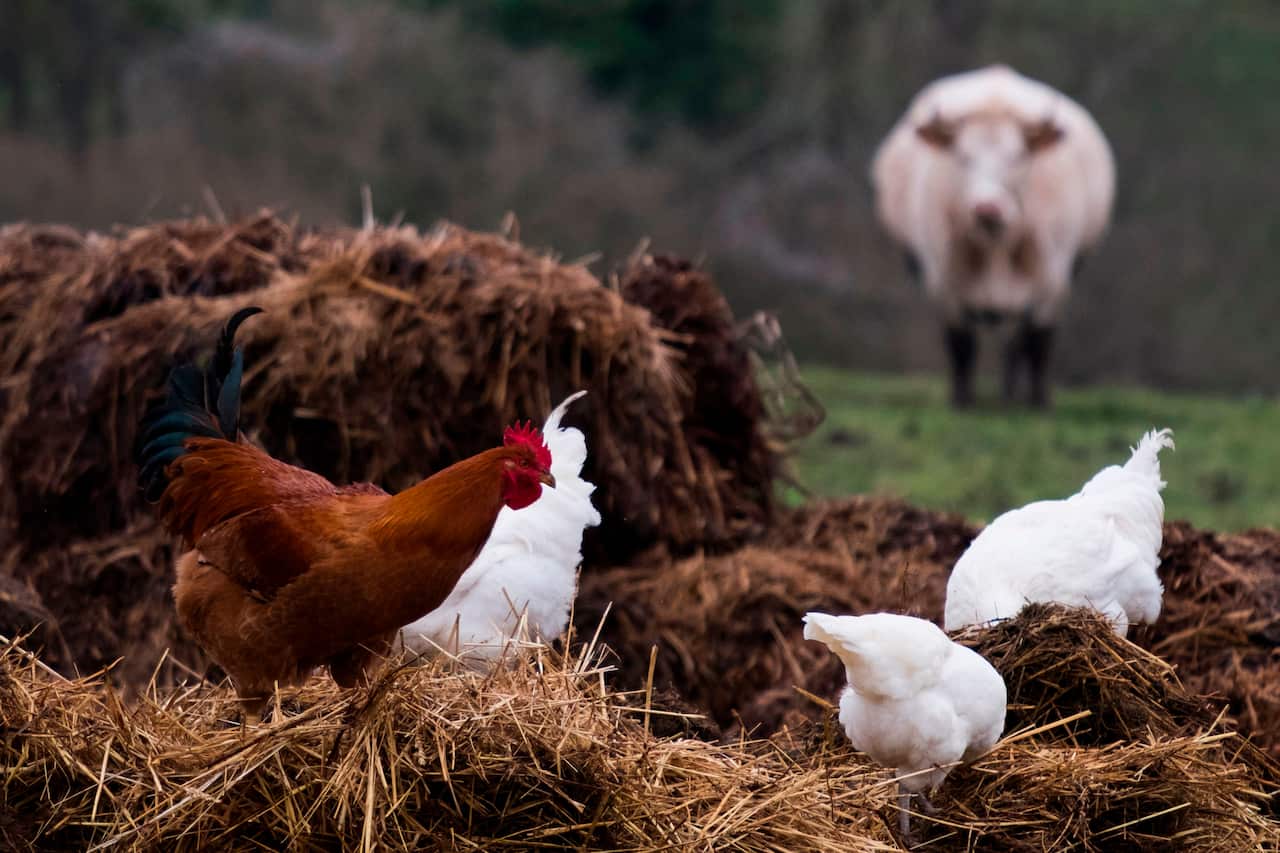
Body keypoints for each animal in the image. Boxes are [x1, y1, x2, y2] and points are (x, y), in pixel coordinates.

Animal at [871, 65, 1115, 408]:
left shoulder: (1052, 282)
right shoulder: (945, 283)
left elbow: (1038, 343)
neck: (995, 245)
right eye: (962, 156)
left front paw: (1039, 402)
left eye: (1018, 156)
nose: (987, 207)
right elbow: (962, 345)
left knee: (1017, 343)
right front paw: (962, 401)